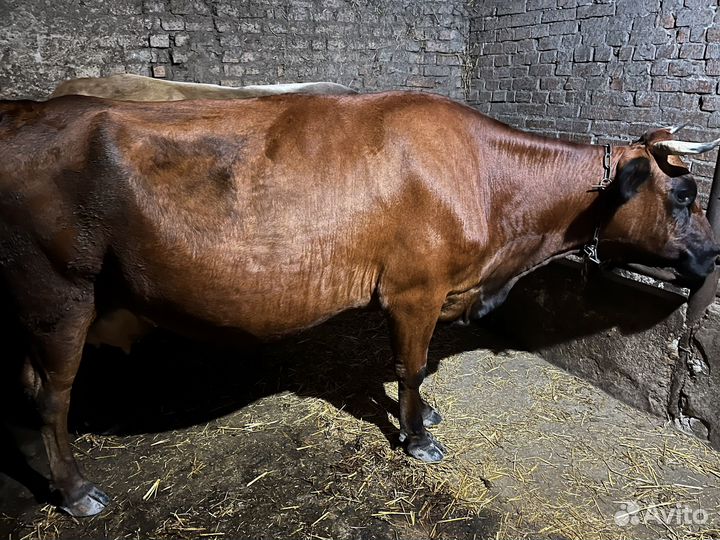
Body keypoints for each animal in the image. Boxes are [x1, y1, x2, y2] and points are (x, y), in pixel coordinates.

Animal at [1, 92, 718, 517]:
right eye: (684, 198)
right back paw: (77, 493)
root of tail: (29, 109)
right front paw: (416, 437)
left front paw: (423, 414)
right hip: (58, 291)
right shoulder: (413, 289)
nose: (713, 255)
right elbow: (409, 365)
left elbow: (414, 371)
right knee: (52, 394)